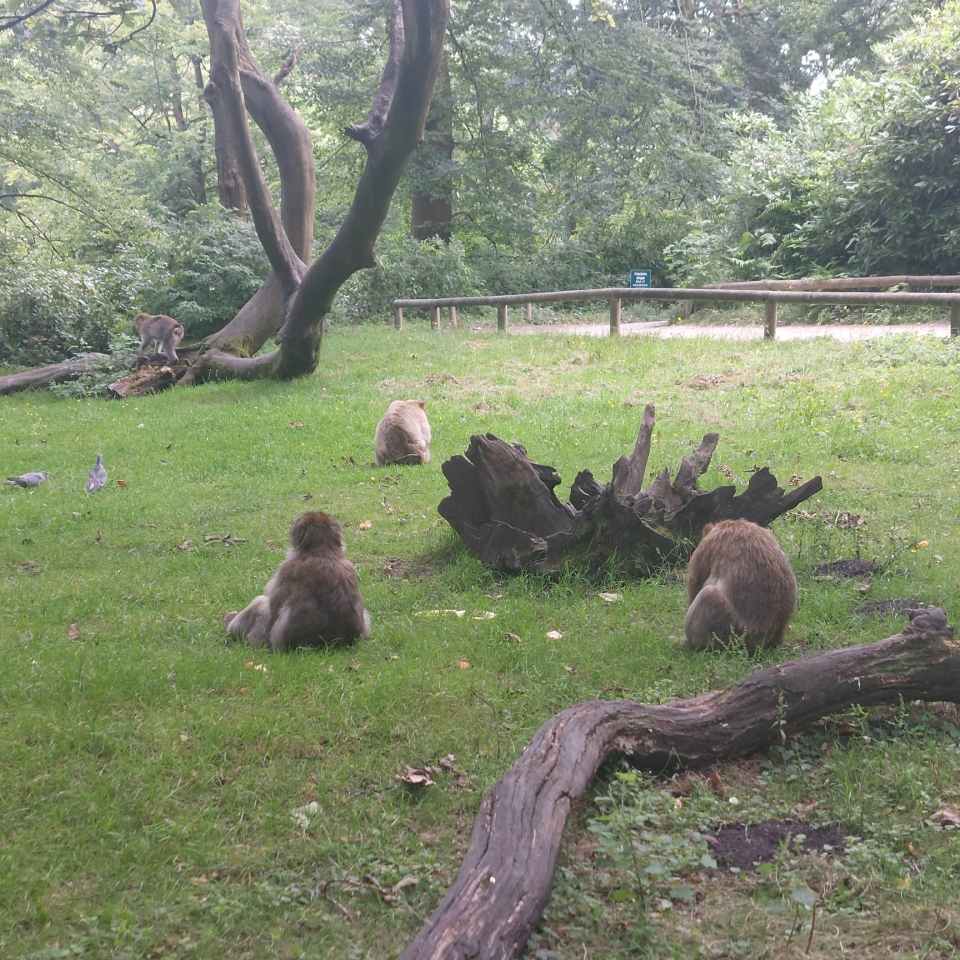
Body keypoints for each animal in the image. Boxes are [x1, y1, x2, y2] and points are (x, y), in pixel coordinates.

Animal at [224, 511, 371, 652]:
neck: (322, 552)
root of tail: (329, 644)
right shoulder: (349, 565)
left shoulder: (286, 569)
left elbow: (271, 613)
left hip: (265, 640)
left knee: (260, 603)